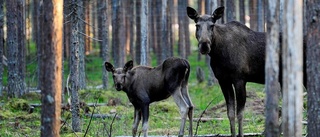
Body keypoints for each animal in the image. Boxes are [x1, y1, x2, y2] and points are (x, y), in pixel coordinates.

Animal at [186, 6, 272, 136]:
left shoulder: (240, 79)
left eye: (212, 25)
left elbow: (240, 113)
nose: (204, 45)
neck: (218, 53)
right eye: (197, 25)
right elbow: (230, 113)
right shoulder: (223, 80)